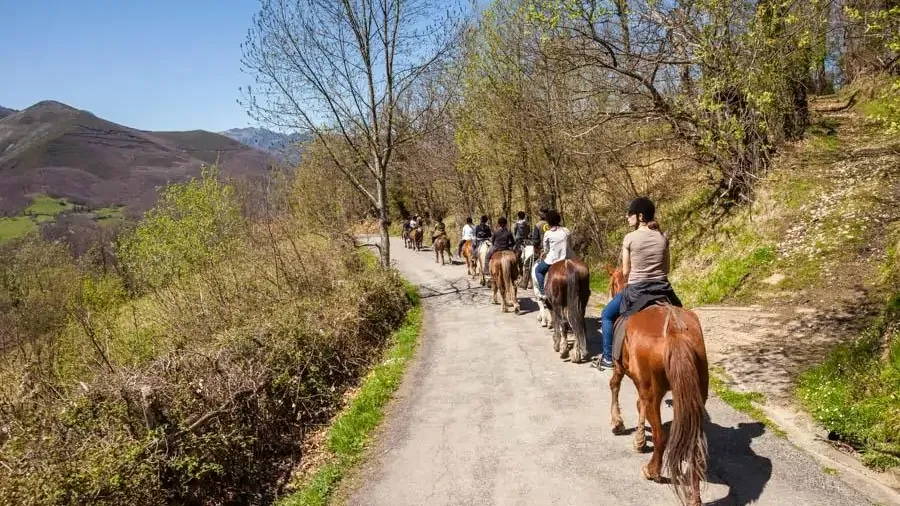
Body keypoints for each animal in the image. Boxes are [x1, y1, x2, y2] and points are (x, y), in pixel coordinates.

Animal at [606, 266, 709, 506]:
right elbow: (638, 405)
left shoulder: (620, 367)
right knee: (693, 443)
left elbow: (615, 386)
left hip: (653, 391)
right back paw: (694, 497)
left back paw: (652, 471)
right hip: (695, 393)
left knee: (661, 435)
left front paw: (618, 423)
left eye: (612, 283)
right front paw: (639, 440)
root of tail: (674, 331)